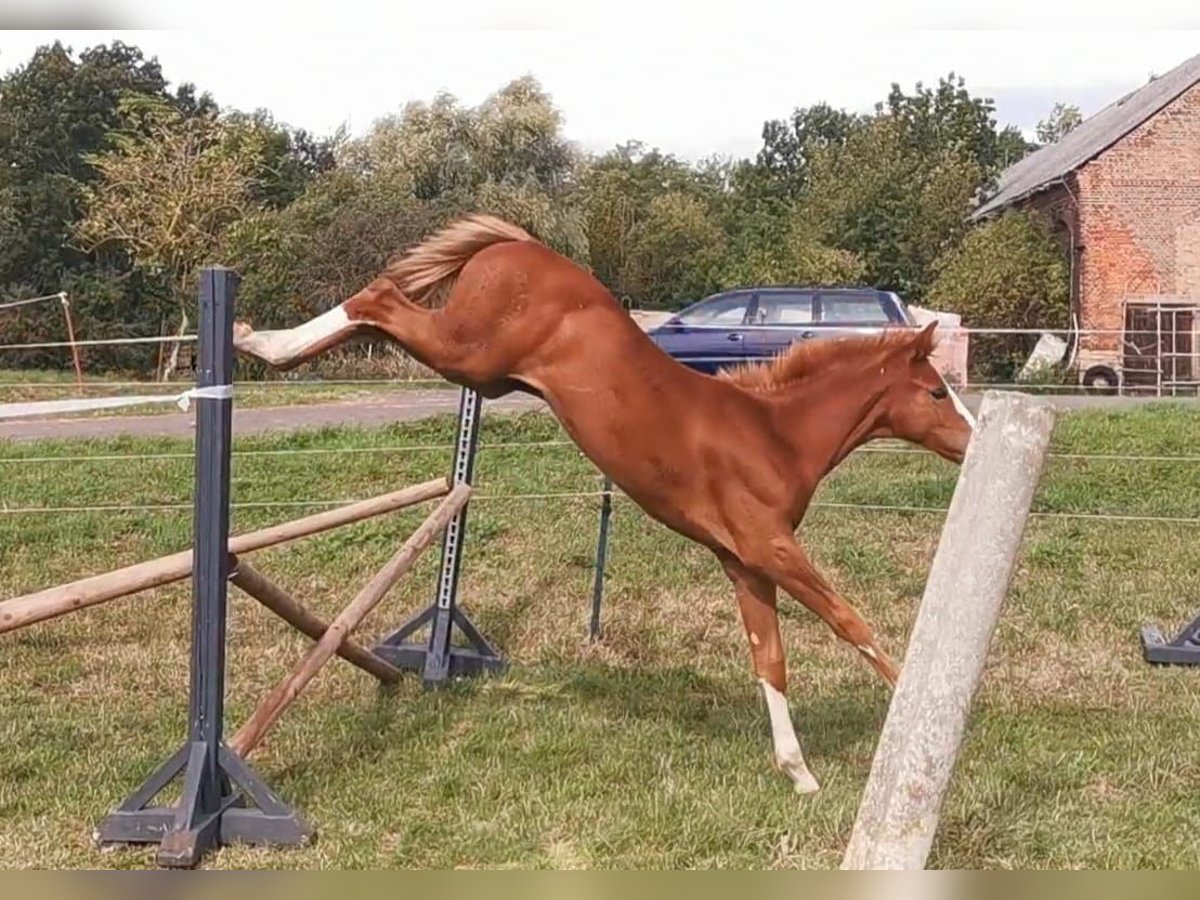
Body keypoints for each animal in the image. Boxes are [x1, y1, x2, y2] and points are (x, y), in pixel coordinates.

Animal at [232, 214, 975, 794]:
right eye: (936, 391)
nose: (974, 442)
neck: (773, 435)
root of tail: (519, 243)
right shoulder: (771, 545)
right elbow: (850, 622)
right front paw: (919, 709)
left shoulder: (745, 562)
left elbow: (770, 657)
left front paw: (799, 772)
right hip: (469, 355)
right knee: (381, 299)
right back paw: (254, 340)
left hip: (481, 372)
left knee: (376, 314)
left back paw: (265, 346)